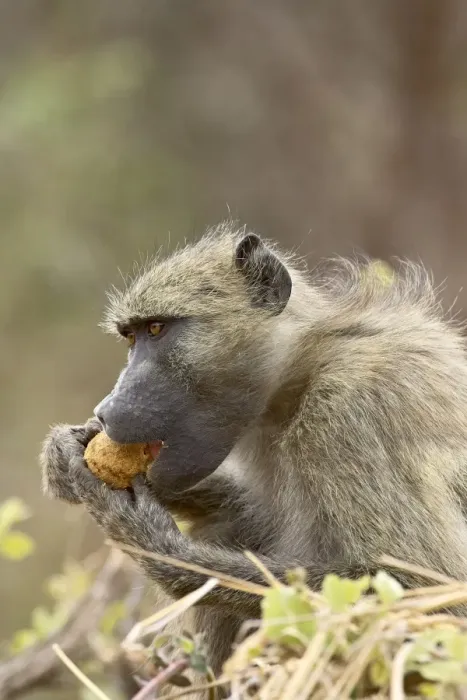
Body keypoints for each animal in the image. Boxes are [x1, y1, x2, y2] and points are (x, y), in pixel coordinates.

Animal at [40, 221, 467, 696]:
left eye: (156, 329)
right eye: (131, 336)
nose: (106, 410)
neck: (302, 367)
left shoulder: (353, 406)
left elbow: (425, 591)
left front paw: (150, 541)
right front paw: (66, 453)